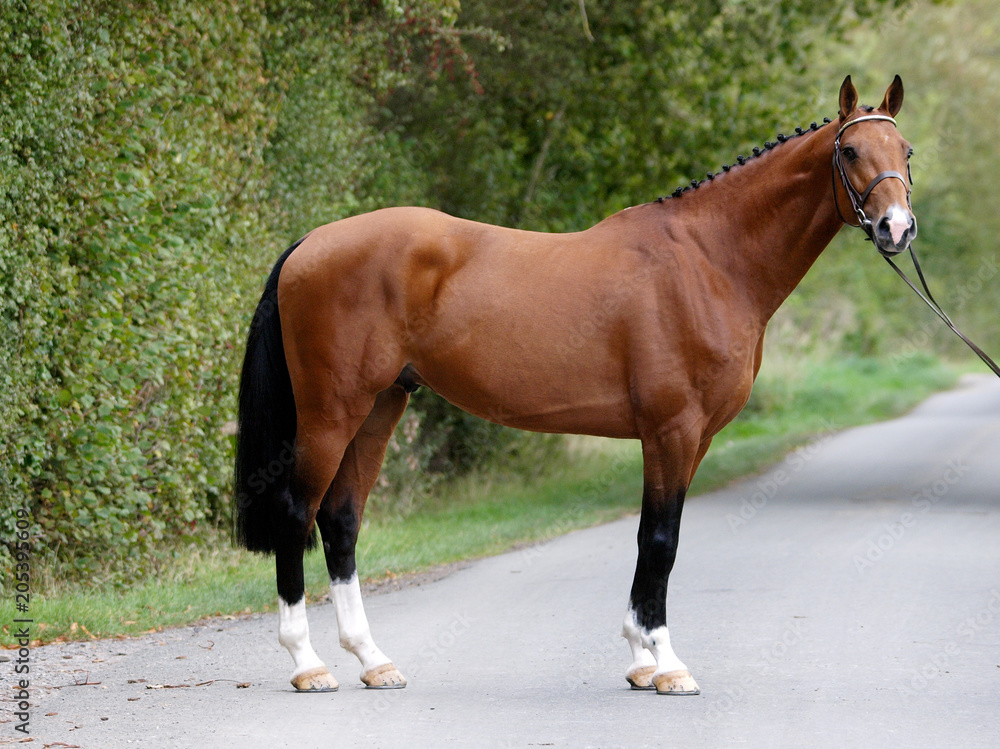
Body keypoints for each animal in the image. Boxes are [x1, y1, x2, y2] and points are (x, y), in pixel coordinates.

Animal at [233, 76, 916, 695]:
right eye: (850, 152)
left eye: (905, 151)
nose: (897, 228)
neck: (709, 260)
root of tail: (310, 243)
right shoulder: (672, 431)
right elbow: (661, 539)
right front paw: (667, 665)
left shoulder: (692, 440)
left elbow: (650, 540)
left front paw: (640, 660)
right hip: (332, 412)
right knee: (298, 513)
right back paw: (308, 665)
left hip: (381, 405)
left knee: (341, 520)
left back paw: (373, 661)